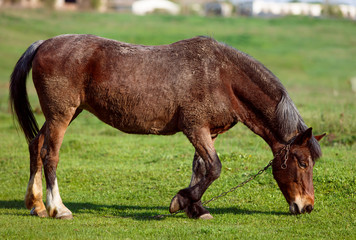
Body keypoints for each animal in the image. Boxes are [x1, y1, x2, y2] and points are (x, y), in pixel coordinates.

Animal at [9, 34, 324, 220]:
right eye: (303, 163)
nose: (307, 206)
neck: (223, 76)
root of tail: (44, 43)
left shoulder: (208, 132)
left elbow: (200, 169)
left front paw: (196, 208)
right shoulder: (195, 128)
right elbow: (214, 168)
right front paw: (182, 201)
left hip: (66, 114)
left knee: (36, 146)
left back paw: (37, 205)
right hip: (61, 115)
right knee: (50, 155)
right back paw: (58, 208)